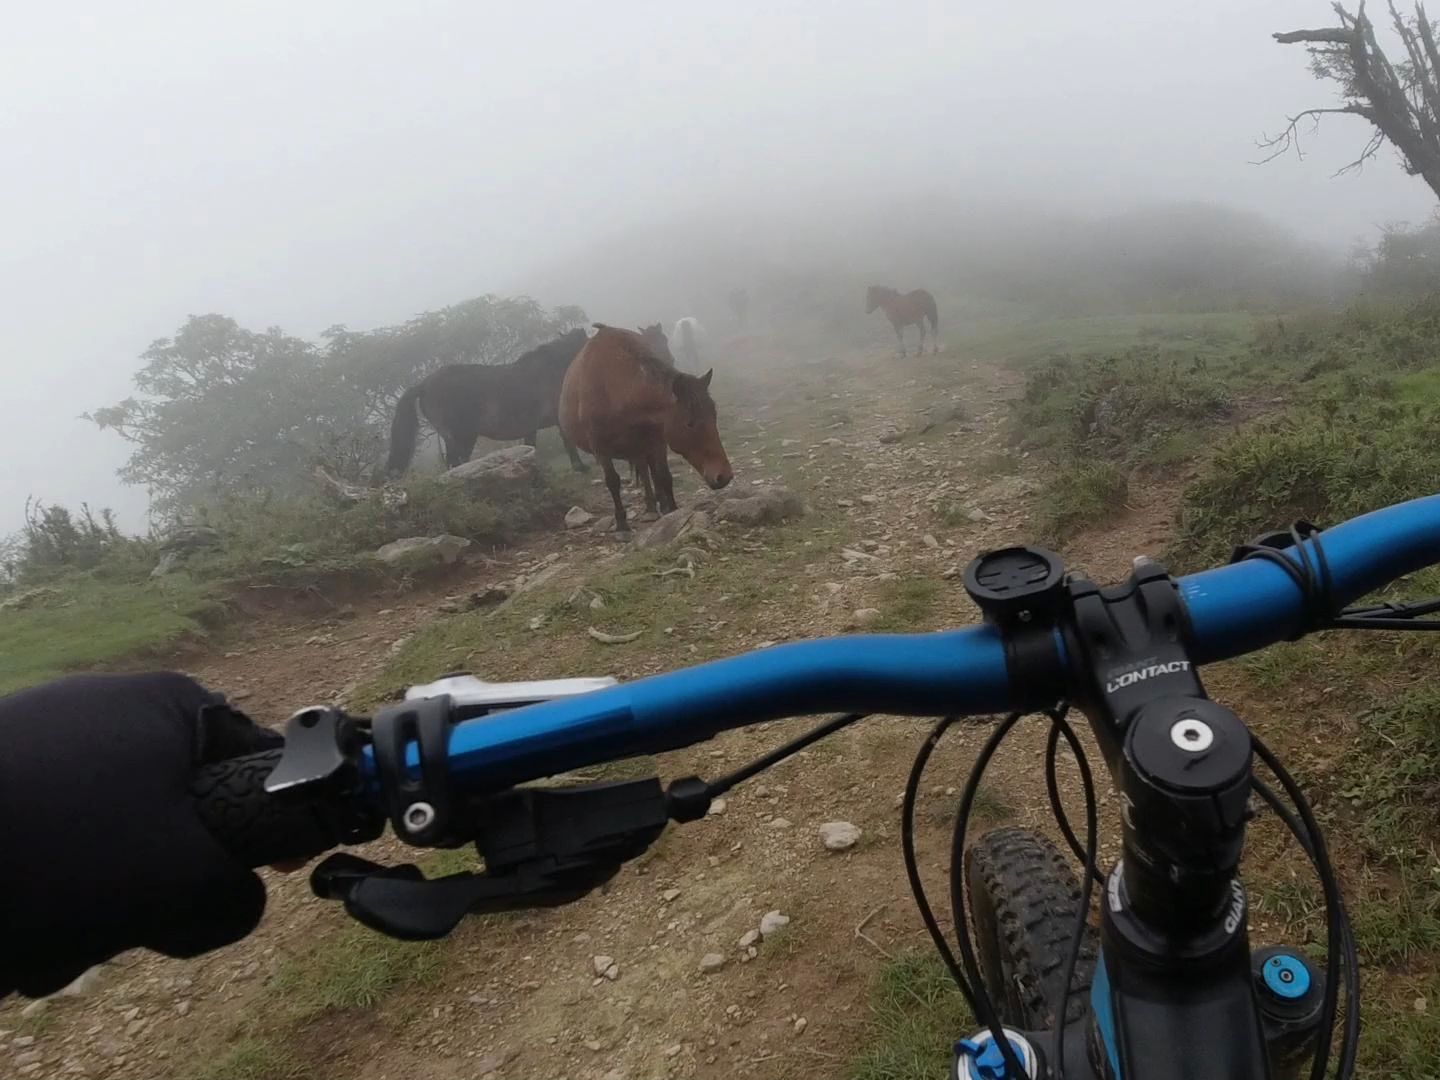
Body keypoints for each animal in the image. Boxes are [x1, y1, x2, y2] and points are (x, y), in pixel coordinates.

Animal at [385, 328, 587, 475]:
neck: (554, 367)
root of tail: (424, 384)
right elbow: (568, 443)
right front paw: (580, 467)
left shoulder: (531, 428)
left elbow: (530, 447)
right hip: (458, 437)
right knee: (454, 465)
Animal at [558, 325, 731, 538]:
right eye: (689, 424)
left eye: (714, 416)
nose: (724, 475)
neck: (615, 387)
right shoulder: (600, 448)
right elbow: (613, 481)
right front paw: (622, 525)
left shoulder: (657, 441)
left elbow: (663, 475)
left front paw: (673, 511)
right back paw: (650, 508)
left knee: (648, 470)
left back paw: (657, 505)